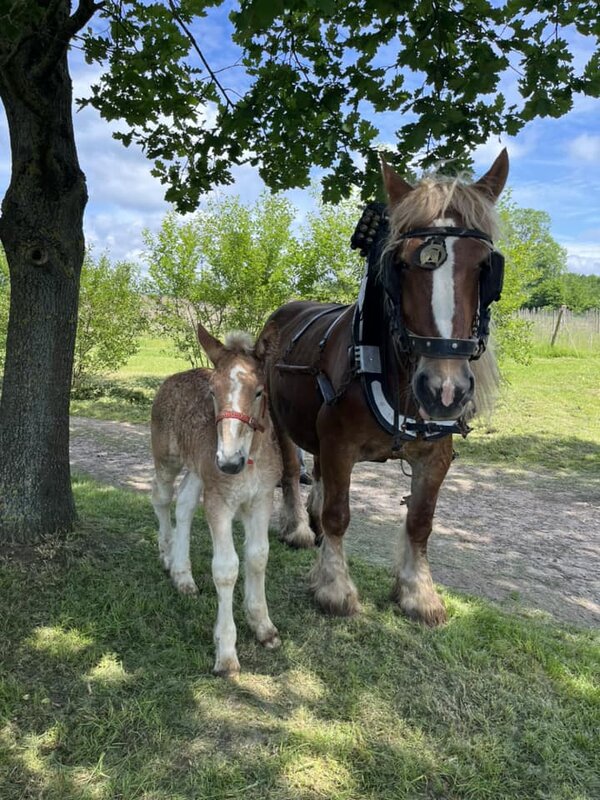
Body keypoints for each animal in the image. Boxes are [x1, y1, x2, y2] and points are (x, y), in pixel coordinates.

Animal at [150, 321, 282, 676]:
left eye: (259, 391)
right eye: (212, 392)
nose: (228, 462)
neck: (250, 460)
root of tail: (171, 378)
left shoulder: (262, 499)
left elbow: (258, 556)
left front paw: (263, 626)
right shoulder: (219, 501)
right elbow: (226, 568)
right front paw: (225, 653)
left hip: (199, 471)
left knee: (183, 505)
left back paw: (183, 576)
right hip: (167, 458)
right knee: (162, 498)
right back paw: (167, 555)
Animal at [262, 150, 508, 625]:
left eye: (485, 268)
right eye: (402, 264)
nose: (444, 391)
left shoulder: (436, 455)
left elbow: (421, 521)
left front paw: (418, 592)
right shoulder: (339, 443)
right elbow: (339, 514)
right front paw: (334, 586)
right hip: (280, 417)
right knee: (289, 470)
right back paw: (299, 526)